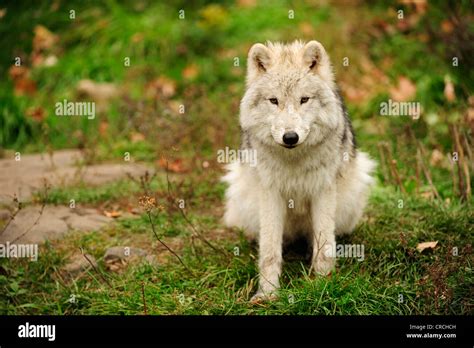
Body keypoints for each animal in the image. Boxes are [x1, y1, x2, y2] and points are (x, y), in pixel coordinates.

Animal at [223, 40, 378, 302]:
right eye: (274, 101)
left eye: (304, 99)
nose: (290, 137)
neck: (293, 160)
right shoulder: (271, 192)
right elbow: (269, 251)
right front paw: (267, 294)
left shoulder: (323, 190)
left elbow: (324, 245)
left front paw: (323, 285)